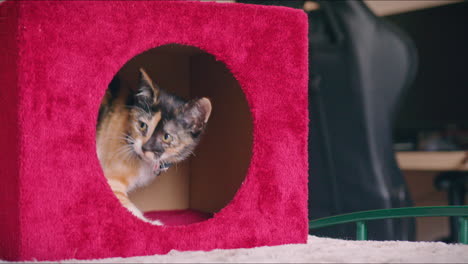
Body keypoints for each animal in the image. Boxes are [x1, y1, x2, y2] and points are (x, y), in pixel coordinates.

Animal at [97, 68, 212, 225]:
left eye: (166, 137)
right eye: (142, 125)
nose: (144, 148)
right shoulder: (112, 180)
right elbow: (129, 210)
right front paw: (153, 223)